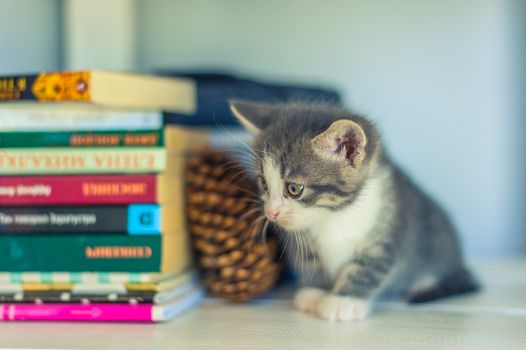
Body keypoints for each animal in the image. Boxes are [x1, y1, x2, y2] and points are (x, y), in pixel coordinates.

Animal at [230, 100, 478, 322]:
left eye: (294, 189)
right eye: (264, 183)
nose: (271, 213)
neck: (333, 215)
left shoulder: (388, 227)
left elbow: (369, 267)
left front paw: (343, 301)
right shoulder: (300, 238)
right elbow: (309, 261)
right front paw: (315, 293)